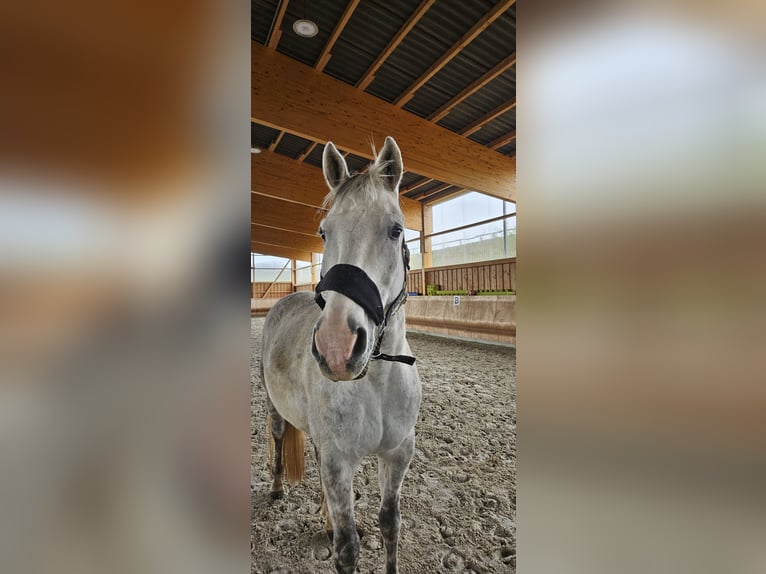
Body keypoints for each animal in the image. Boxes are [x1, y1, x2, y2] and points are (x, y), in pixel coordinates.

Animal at [260, 137, 424, 572]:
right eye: (323, 232)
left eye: (396, 230)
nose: (336, 347)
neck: (378, 380)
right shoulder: (339, 461)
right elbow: (347, 549)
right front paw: (338, 531)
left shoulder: (398, 454)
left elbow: (390, 524)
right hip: (275, 408)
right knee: (278, 438)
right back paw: (277, 489)